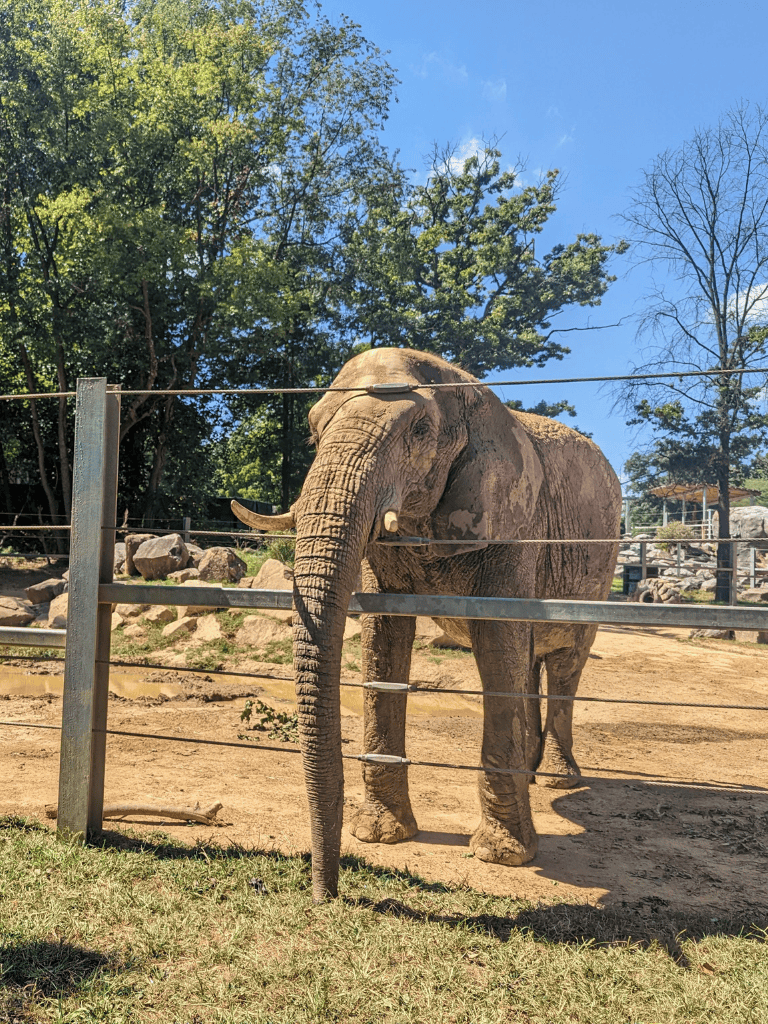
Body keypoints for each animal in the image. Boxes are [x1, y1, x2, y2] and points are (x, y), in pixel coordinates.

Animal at [232, 347, 621, 901]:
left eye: (419, 431)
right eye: (312, 429)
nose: (324, 893)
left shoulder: (515, 524)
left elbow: (497, 641)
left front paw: (503, 856)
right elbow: (385, 633)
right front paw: (379, 835)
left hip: (600, 565)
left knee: (565, 661)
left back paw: (558, 780)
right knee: (528, 662)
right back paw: (530, 773)